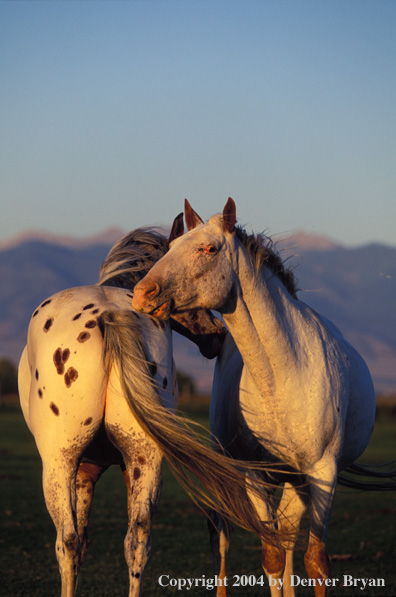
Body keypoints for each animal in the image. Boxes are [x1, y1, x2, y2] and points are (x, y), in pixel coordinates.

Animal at [17, 219, 278, 596]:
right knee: (137, 540)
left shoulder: (83, 468)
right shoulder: (108, 468)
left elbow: (78, 543)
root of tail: (109, 314)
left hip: (59, 461)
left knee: (67, 541)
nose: (217, 335)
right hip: (146, 458)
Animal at [132, 200, 378, 596]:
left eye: (209, 248)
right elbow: (272, 558)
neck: (281, 376)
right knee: (223, 539)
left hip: (297, 481)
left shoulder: (323, 472)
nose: (143, 293)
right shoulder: (254, 475)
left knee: (289, 535)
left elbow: (314, 561)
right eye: (171, 247)